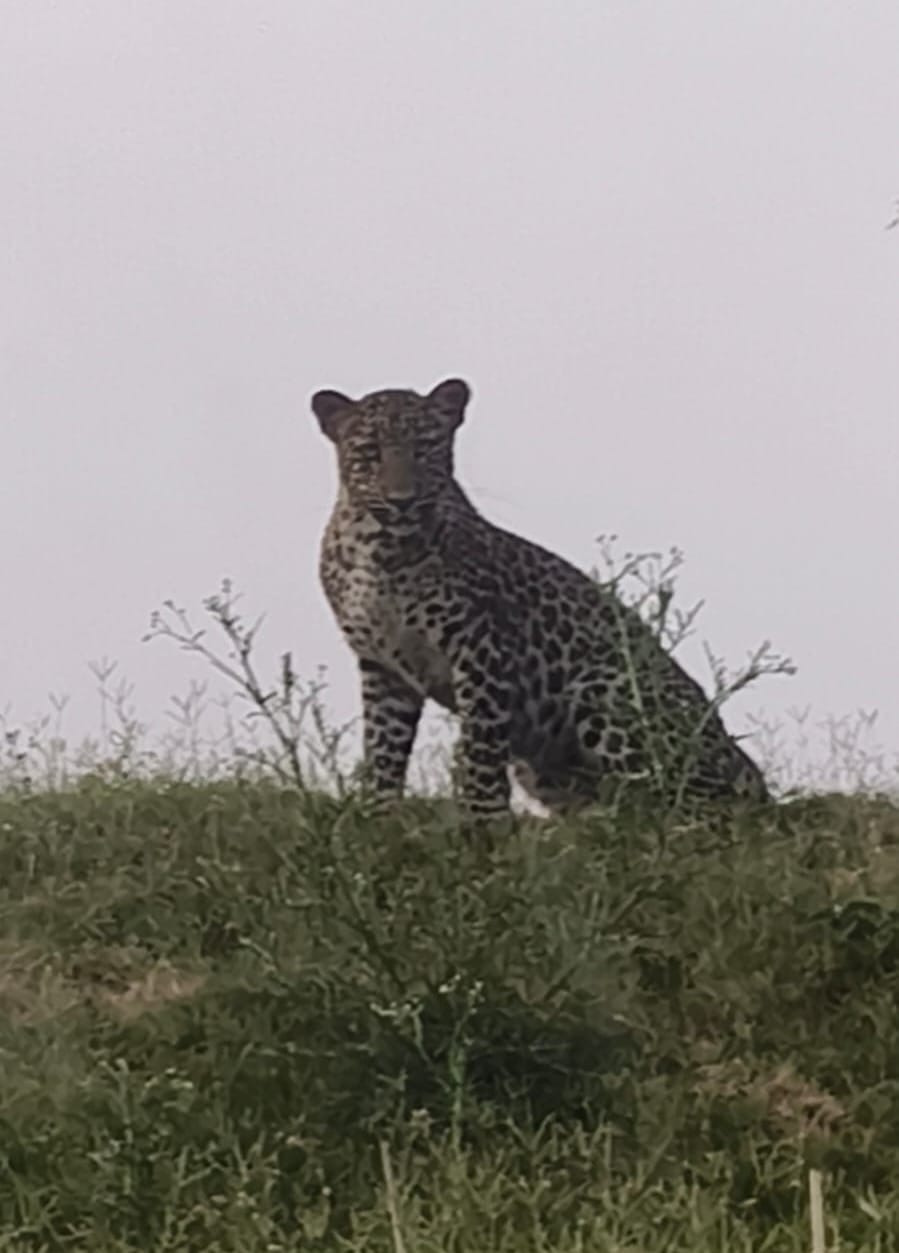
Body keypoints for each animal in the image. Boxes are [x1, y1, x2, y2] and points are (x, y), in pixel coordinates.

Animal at [311, 377, 769, 819]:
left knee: (693, 803)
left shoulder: (480, 651)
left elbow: (479, 750)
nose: (401, 501)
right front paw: (380, 814)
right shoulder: (382, 667)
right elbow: (383, 750)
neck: (379, 549)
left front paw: (484, 824)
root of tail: (750, 772)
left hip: (603, 689)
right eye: (369, 452)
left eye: (424, 449)